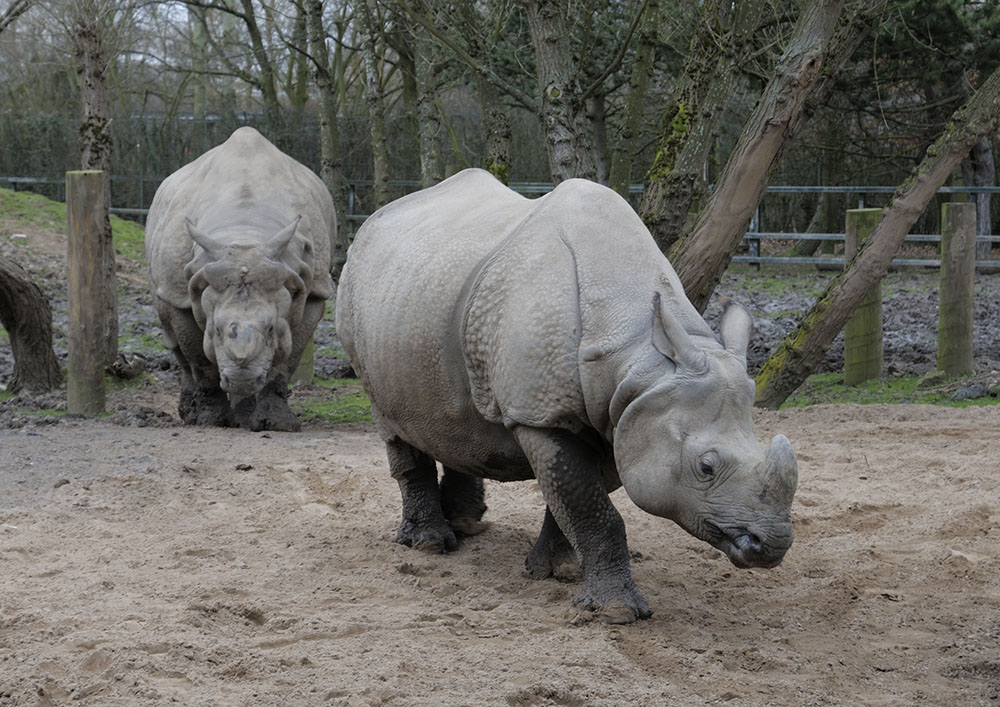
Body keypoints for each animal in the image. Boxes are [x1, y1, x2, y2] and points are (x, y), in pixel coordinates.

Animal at [145, 127, 335, 432]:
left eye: (270, 329)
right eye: (216, 329)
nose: (240, 380)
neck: (245, 232)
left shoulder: (315, 289)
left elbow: (287, 359)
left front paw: (277, 423)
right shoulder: (179, 289)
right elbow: (199, 360)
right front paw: (211, 420)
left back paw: (244, 416)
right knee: (173, 339)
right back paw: (193, 414)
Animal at [335, 168, 797, 623]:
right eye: (705, 467)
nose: (771, 545)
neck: (638, 357)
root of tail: (373, 222)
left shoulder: (623, 413)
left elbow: (572, 500)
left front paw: (558, 570)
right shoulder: (542, 414)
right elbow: (592, 509)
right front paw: (616, 612)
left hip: (419, 297)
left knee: (450, 415)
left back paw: (467, 524)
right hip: (357, 301)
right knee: (391, 421)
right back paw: (431, 543)